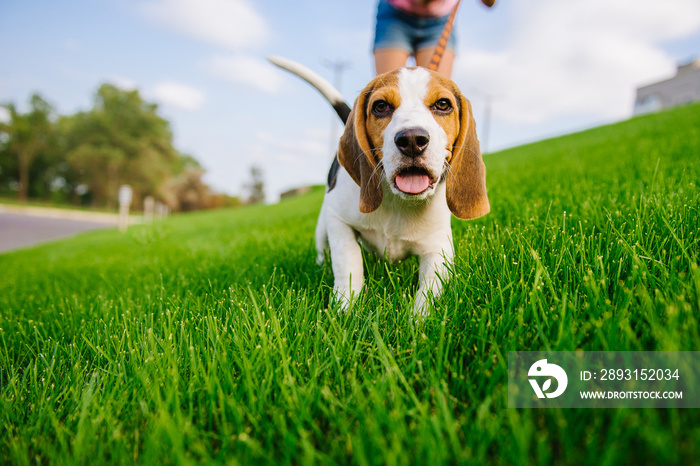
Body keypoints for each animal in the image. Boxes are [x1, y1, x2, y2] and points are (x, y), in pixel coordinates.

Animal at [268, 57, 486, 314]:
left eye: (443, 104)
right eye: (381, 106)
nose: (412, 140)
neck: (397, 201)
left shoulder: (439, 249)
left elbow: (429, 291)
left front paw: (418, 319)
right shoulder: (337, 219)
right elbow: (348, 260)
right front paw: (345, 307)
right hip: (322, 225)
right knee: (323, 248)